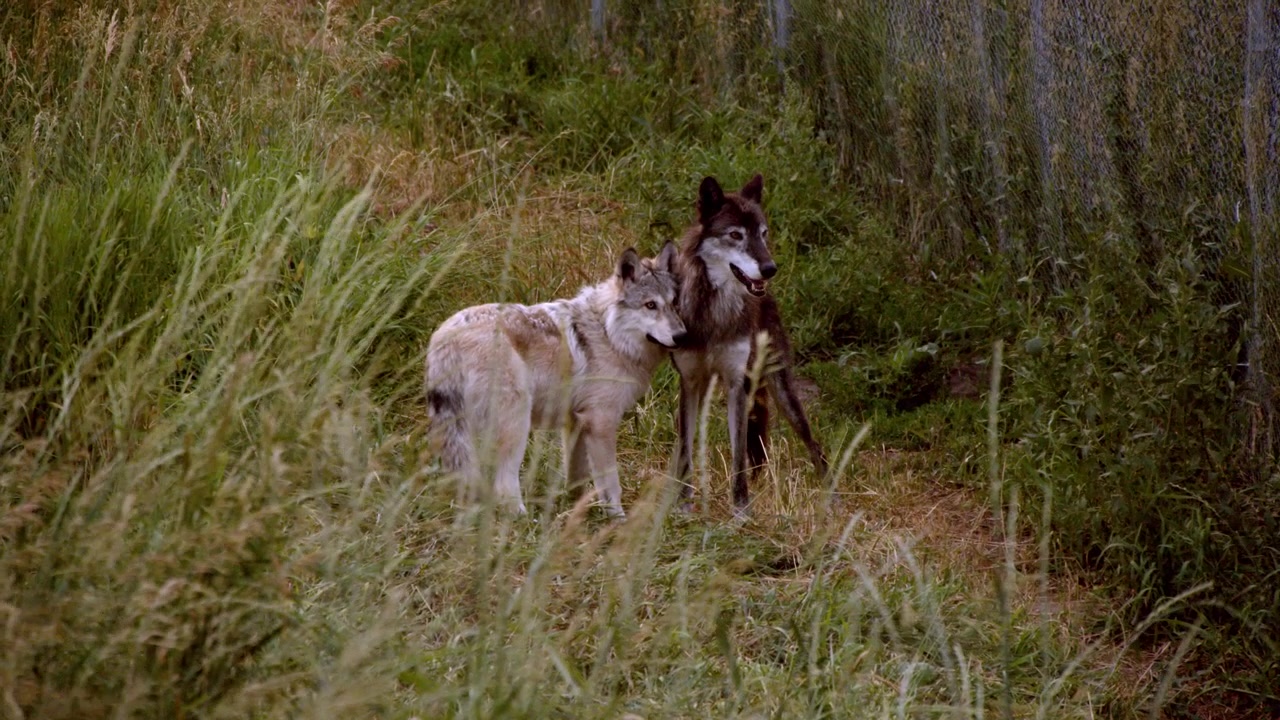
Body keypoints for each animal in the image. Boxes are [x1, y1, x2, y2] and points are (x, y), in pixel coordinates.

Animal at [425, 243, 685, 519]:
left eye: (674, 303)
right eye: (650, 305)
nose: (682, 336)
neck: (609, 334)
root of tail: (447, 338)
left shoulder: (577, 423)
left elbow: (577, 477)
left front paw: (577, 512)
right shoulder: (601, 422)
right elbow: (611, 484)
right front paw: (617, 519)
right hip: (517, 424)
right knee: (504, 484)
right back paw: (523, 520)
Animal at [670, 174, 828, 516]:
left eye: (763, 234)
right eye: (735, 235)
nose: (769, 268)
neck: (715, 312)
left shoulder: (735, 384)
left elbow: (738, 455)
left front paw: (741, 510)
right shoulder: (689, 383)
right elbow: (686, 449)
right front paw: (683, 506)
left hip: (783, 391)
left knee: (815, 447)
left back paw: (832, 497)